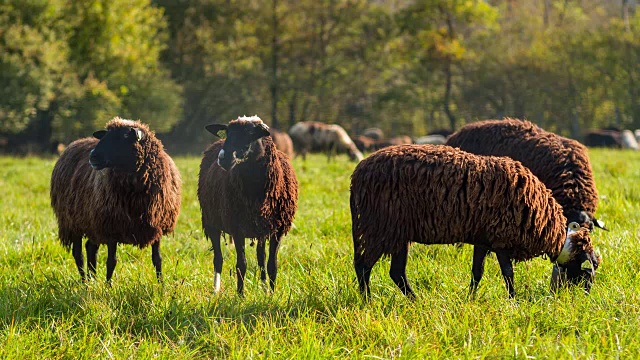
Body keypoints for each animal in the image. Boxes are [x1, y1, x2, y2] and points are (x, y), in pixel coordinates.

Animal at [49, 116, 180, 282]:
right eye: (105, 135)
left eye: (124, 136)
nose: (93, 156)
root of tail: (74, 143)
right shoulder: (111, 226)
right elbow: (111, 261)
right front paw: (108, 285)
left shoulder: (157, 225)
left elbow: (157, 259)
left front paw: (160, 284)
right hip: (71, 221)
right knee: (78, 253)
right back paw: (85, 281)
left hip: (92, 221)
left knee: (91, 247)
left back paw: (92, 279)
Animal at [198, 116, 298, 296]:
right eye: (228, 133)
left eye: (251, 133)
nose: (223, 158)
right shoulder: (237, 227)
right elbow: (241, 264)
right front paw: (240, 295)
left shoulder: (277, 229)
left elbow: (272, 264)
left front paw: (272, 294)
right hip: (211, 221)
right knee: (218, 258)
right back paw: (216, 290)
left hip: (260, 229)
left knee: (261, 257)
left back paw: (264, 288)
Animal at [350, 145, 600, 300]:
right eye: (585, 271)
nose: (576, 300)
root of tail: (358, 174)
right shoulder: (501, 240)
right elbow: (508, 272)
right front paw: (513, 300)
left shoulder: (483, 239)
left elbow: (476, 272)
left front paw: (470, 298)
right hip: (380, 227)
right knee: (363, 266)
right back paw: (368, 302)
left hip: (398, 233)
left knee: (396, 273)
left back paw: (415, 301)